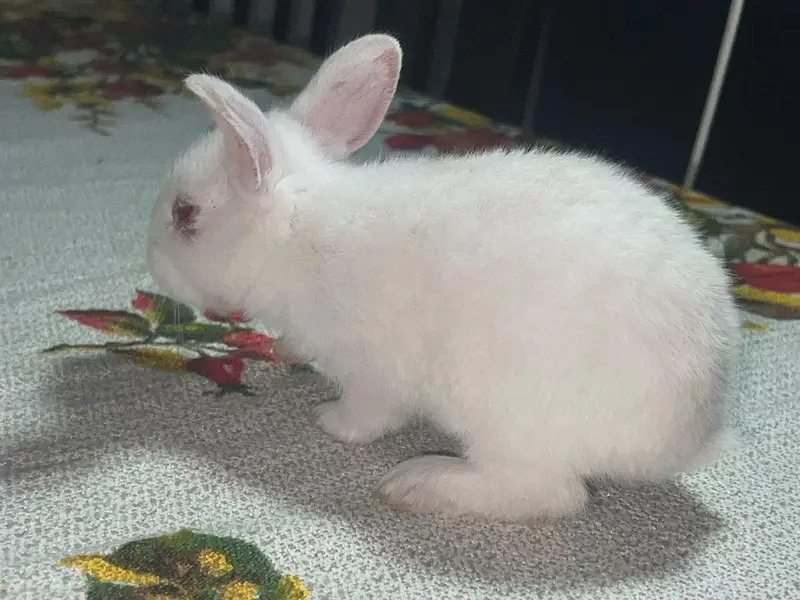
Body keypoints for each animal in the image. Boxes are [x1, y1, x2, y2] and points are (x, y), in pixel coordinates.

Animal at [147, 33, 740, 520]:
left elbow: (369, 415)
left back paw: (419, 484)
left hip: (505, 416)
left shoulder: (374, 372)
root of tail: (690, 434)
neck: (295, 238)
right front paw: (284, 352)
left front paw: (329, 421)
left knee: (550, 495)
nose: (151, 261)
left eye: (185, 214)